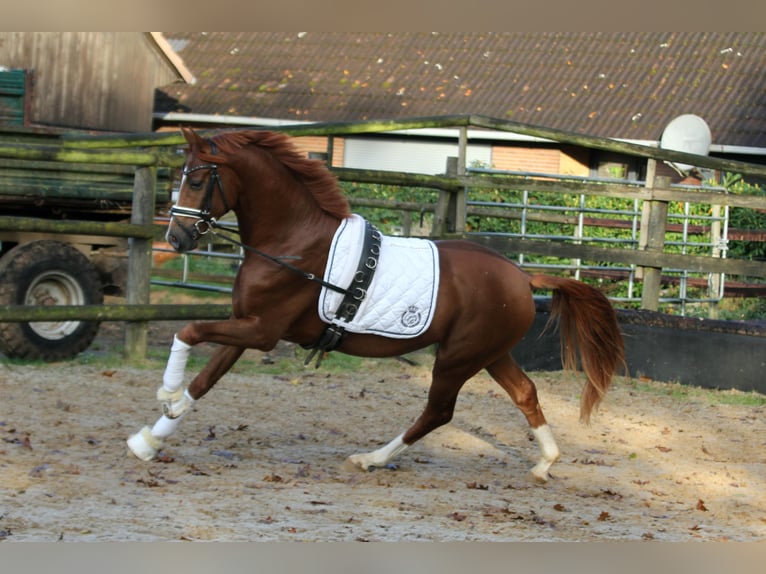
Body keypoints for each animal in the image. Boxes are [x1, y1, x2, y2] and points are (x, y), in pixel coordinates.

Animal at [126, 128, 628, 484]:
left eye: (195, 179)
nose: (176, 238)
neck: (292, 243)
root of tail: (522, 277)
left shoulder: (263, 330)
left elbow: (188, 332)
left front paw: (166, 396)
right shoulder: (245, 324)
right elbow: (206, 381)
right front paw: (149, 440)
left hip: (457, 357)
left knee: (438, 412)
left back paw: (370, 459)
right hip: (489, 354)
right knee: (524, 393)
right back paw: (546, 463)